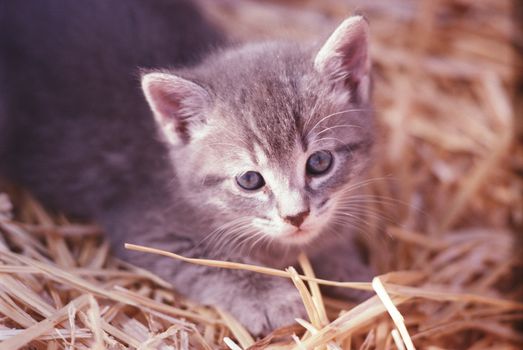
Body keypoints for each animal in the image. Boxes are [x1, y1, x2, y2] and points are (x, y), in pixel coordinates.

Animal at [1, 0, 376, 336]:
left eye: (319, 163)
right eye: (250, 180)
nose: (296, 216)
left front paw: (350, 267)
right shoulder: (147, 229)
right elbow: (210, 266)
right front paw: (269, 297)